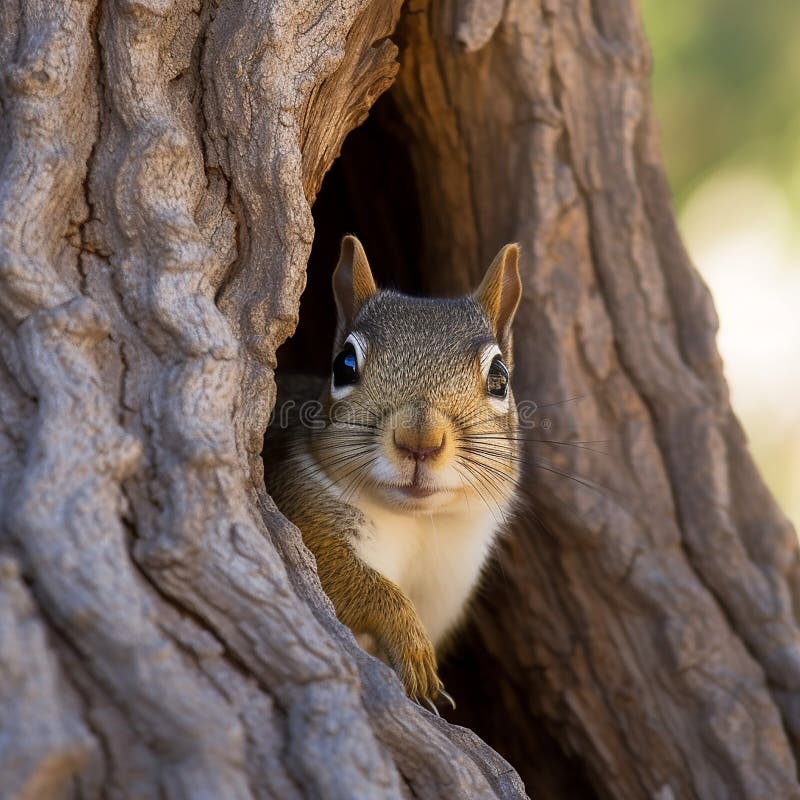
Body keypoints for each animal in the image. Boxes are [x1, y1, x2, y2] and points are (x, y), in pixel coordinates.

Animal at [264, 235, 522, 708]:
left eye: (500, 377)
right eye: (344, 364)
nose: (420, 440)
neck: (418, 523)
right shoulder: (299, 511)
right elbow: (349, 580)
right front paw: (413, 650)